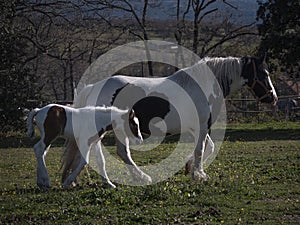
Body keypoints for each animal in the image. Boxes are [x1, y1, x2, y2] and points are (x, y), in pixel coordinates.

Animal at [61, 55, 278, 185]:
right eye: (264, 73)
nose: (274, 98)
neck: (202, 87)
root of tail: (94, 87)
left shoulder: (198, 129)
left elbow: (207, 148)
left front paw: (190, 168)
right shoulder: (202, 126)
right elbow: (201, 150)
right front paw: (199, 174)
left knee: (120, 153)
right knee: (107, 153)